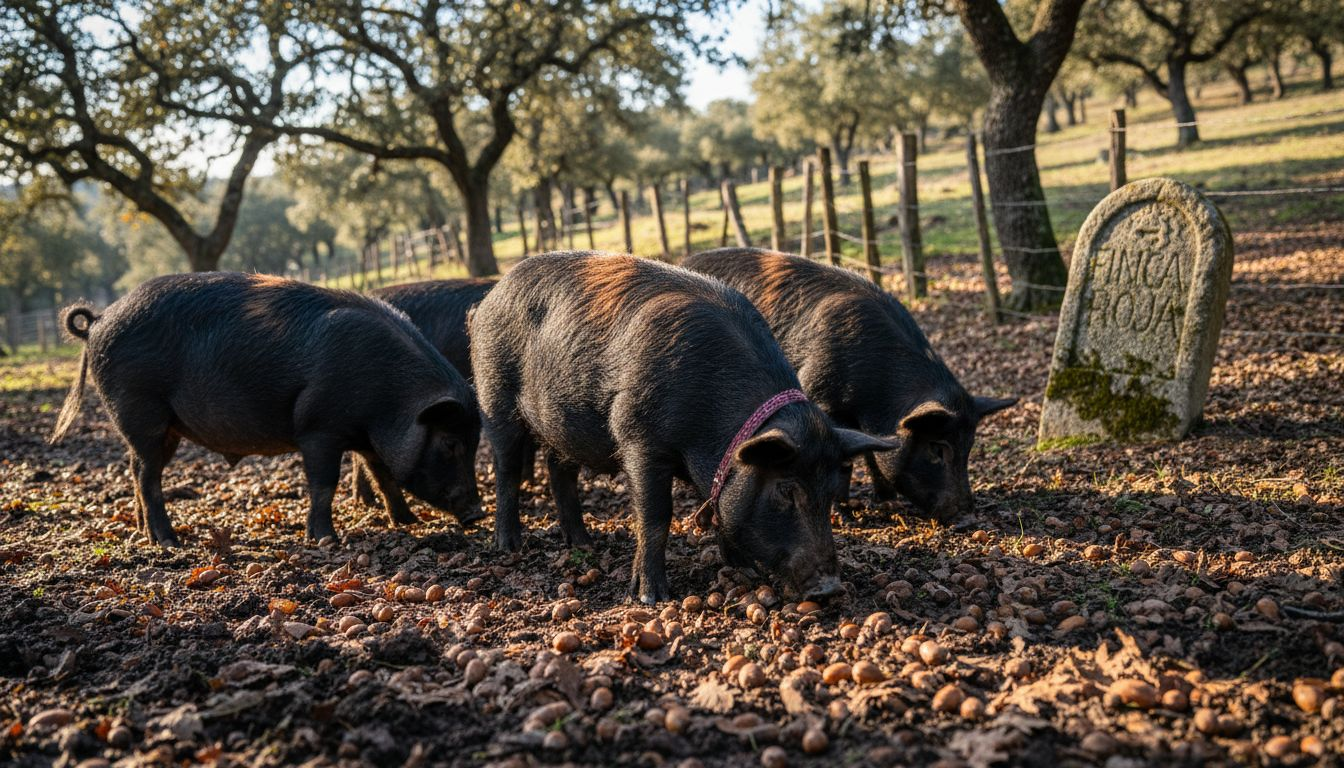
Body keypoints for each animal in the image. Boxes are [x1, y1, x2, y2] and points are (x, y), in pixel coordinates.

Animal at [50, 272, 482, 546]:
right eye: (450, 443)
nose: (478, 514)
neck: (391, 397)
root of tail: (98, 321)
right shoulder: (318, 428)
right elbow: (324, 484)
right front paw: (326, 540)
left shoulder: (368, 439)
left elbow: (385, 477)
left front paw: (409, 523)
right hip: (141, 412)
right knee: (146, 475)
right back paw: (168, 542)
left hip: (162, 426)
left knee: (135, 467)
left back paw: (145, 533)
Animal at [469, 251, 896, 603]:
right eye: (786, 489)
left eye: (830, 493)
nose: (831, 587)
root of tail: (487, 300)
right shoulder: (639, 438)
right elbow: (656, 516)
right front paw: (650, 597)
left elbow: (720, 503)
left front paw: (742, 570)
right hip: (494, 397)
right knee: (507, 471)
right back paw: (509, 546)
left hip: (564, 423)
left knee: (559, 470)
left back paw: (584, 544)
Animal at [683, 248, 1015, 522]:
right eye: (936, 447)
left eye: (969, 447)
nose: (968, 518)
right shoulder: (821, 398)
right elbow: (844, 462)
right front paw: (846, 517)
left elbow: (871, 451)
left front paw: (885, 500)